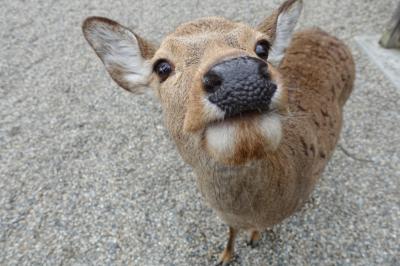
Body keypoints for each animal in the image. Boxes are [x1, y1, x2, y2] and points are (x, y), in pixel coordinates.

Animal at [83, 0, 354, 264]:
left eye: (262, 48)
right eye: (162, 67)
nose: (239, 74)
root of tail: (325, 32)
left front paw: (253, 239)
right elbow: (230, 233)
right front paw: (225, 256)